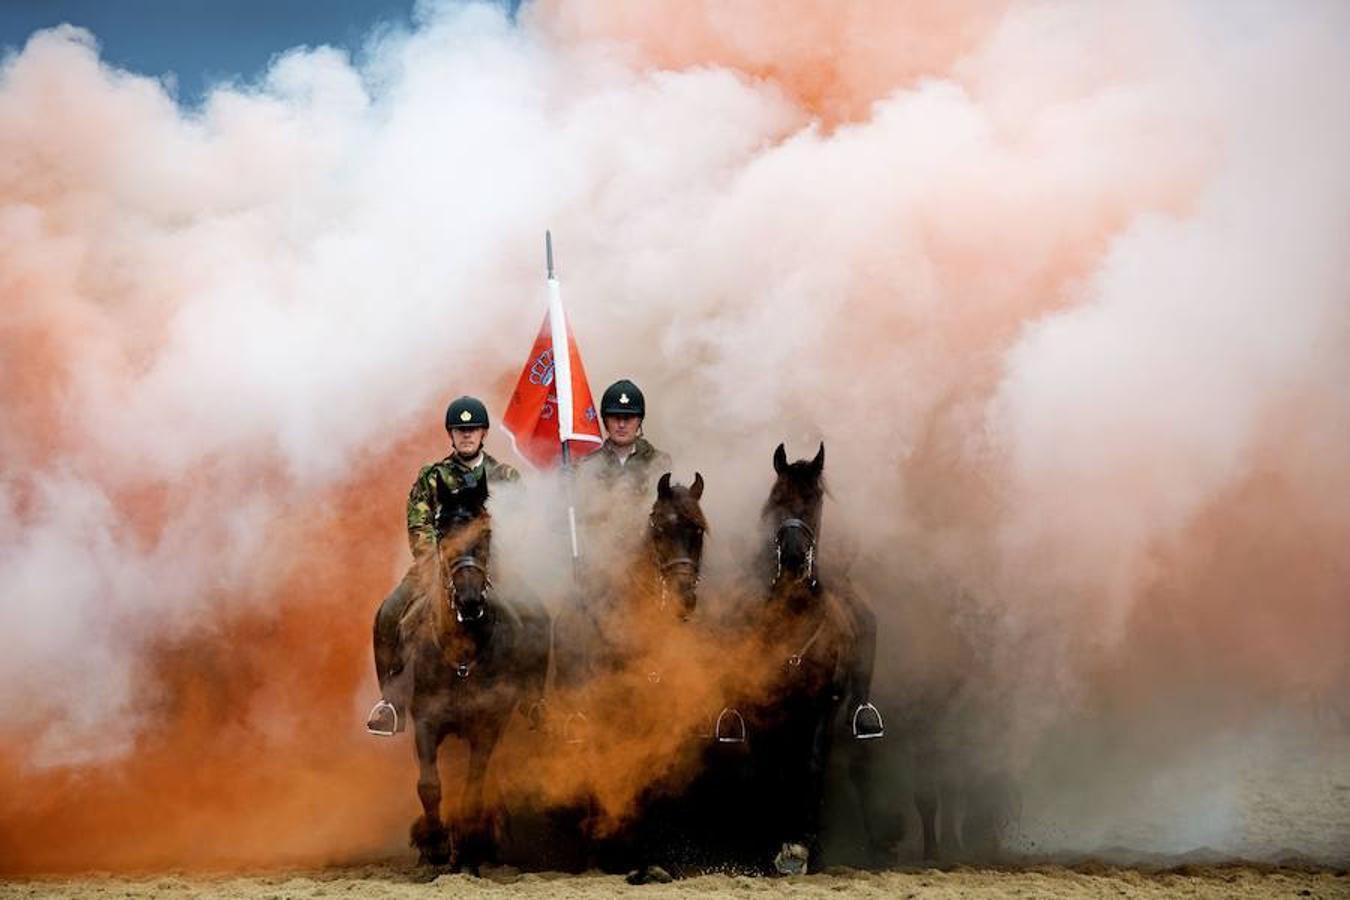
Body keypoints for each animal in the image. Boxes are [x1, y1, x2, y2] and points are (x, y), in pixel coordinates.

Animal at [369, 477, 548, 874]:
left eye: (486, 534)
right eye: (442, 533)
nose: (469, 600)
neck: (462, 657)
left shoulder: (487, 725)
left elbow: (474, 787)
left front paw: (467, 848)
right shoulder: (426, 721)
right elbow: (429, 785)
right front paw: (435, 846)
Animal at [739, 442, 885, 874]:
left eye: (815, 500)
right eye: (776, 497)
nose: (791, 556)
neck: (792, 618)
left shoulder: (823, 705)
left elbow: (812, 765)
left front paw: (802, 848)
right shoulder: (765, 708)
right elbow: (771, 768)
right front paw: (772, 848)